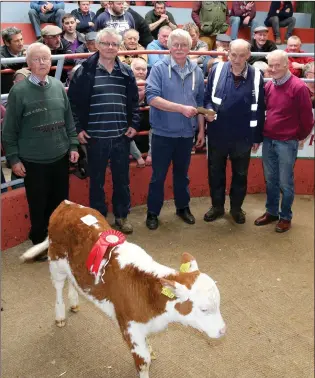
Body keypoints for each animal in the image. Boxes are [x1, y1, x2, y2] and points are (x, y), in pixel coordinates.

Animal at [20, 201, 227, 378]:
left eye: (218, 304)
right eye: (204, 309)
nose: (223, 331)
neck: (148, 294)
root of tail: (67, 204)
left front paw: (151, 349)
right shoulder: (130, 328)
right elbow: (143, 362)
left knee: (73, 281)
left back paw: (74, 303)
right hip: (55, 262)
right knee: (57, 289)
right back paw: (60, 316)